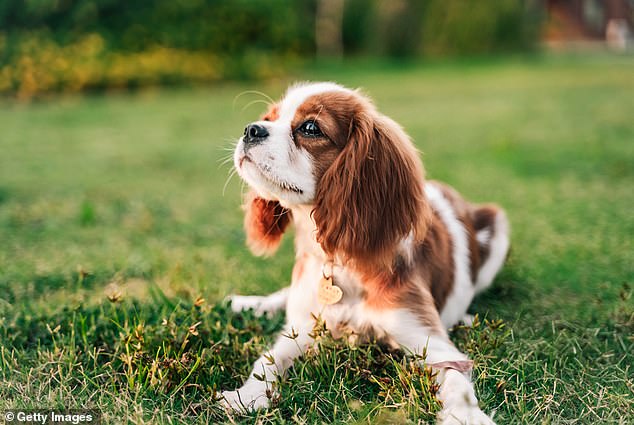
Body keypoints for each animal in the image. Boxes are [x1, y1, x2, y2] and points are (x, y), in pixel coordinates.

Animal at [222, 81, 508, 422]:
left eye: (310, 128)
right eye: (269, 118)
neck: (338, 259)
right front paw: (246, 395)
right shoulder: (303, 328)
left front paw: (467, 415)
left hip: (498, 226)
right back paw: (250, 304)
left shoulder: (430, 341)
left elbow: (455, 379)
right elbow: (268, 358)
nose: (252, 129)